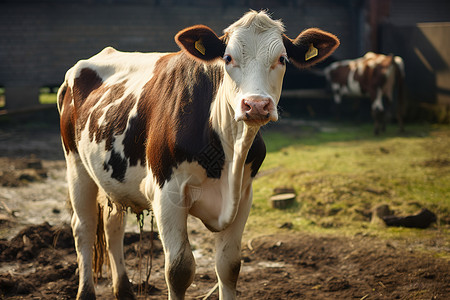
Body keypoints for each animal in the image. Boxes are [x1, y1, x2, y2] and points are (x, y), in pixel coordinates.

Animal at [57, 9, 338, 300]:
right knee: (84, 227)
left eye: (282, 59)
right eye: (228, 58)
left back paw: (124, 290)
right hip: (75, 164)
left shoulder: (244, 194)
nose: (257, 105)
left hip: (113, 178)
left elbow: (229, 266)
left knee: (113, 225)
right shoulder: (166, 193)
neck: (229, 152)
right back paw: (85, 291)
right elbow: (179, 270)